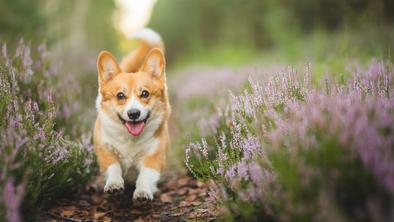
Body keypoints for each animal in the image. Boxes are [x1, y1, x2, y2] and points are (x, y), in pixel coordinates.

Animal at [94, 28, 171, 203]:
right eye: (120, 95)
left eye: (145, 93)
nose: (134, 113)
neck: (130, 139)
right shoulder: (105, 151)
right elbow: (114, 167)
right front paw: (114, 184)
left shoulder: (153, 157)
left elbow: (144, 176)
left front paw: (142, 192)